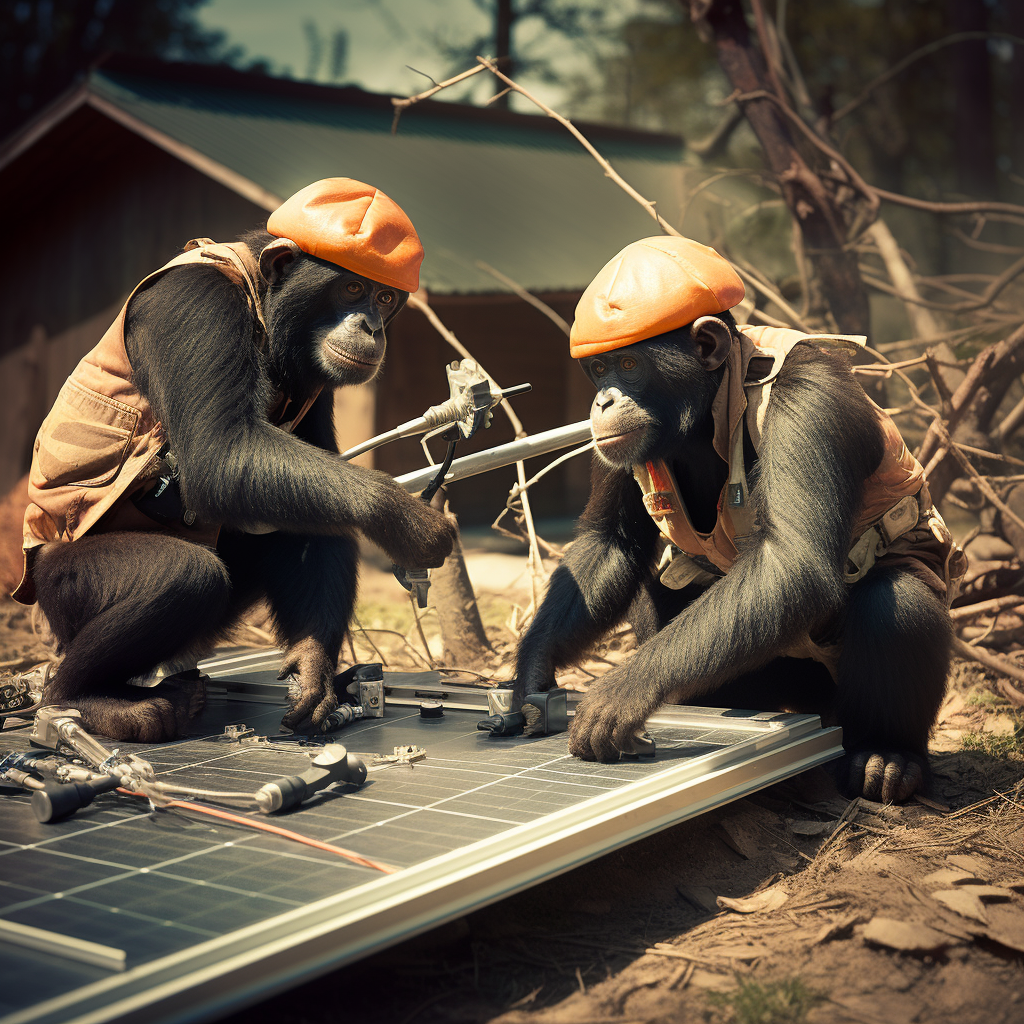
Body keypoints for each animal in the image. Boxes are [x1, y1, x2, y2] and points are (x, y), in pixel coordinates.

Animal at [12, 178, 456, 745]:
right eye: (353, 290)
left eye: (384, 297)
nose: (371, 325)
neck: (265, 310)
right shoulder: (196, 303)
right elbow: (221, 450)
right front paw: (407, 518)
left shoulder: (315, 378)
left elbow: (321, 479)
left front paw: (313, 669)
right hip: (63, 592)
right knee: (184, 573)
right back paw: (87, 700)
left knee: (306, 511)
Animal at [516, 235, 962, 802]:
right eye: (599, 369)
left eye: (631, 365)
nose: (603, 399)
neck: (708, 409)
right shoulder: (609, 441)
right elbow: (608, 542)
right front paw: (530, 678)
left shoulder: (809, 394)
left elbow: (793, 560)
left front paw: (623, 691)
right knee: (653, 593)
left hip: (832, 695)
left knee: (897, 604)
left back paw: (889, 756)